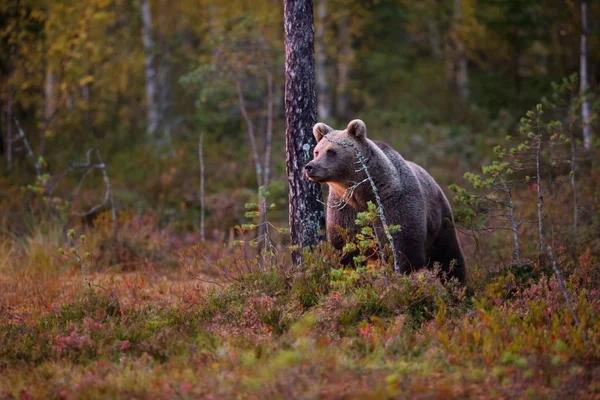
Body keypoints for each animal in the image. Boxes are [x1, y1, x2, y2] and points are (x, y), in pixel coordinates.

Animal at [308, 117, 466, 282]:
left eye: (331, 151)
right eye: (317, 151)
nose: (310, 166)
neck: (363, 192)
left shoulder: (395, 204)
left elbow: (404, 250)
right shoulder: (345, 209)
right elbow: (344, 247)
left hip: (440, 219)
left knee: (448, 256)